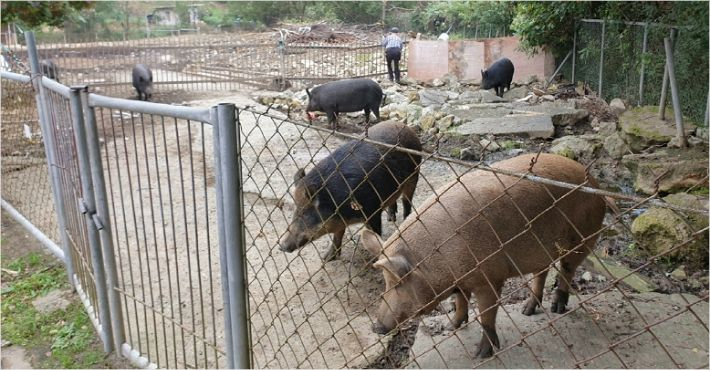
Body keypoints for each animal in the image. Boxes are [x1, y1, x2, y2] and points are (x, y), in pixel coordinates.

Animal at [278, 120, 422, 262]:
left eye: (305, 213)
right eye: (295, 210)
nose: (281, 246)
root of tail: (406, 127)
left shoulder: (372, 211)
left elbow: (374, 234)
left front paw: (373, 262)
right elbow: (338, 234)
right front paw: (326, 259)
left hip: (413, 177)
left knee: (406, 201)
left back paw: (404, 221)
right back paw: (390, 219)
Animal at [364, 152, 608, 356]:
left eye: (397, 284)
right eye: (386, 283)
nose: (377, 327)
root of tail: (596, 185)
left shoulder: (489, 278)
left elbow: (487, 315)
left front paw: (481, 354)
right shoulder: (462, 280)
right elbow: (461, 301)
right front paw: (451, 327)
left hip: (582, 237)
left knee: (567, 270)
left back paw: (557, 309)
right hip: (544, 249)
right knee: (542, 273)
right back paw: (526, 311)